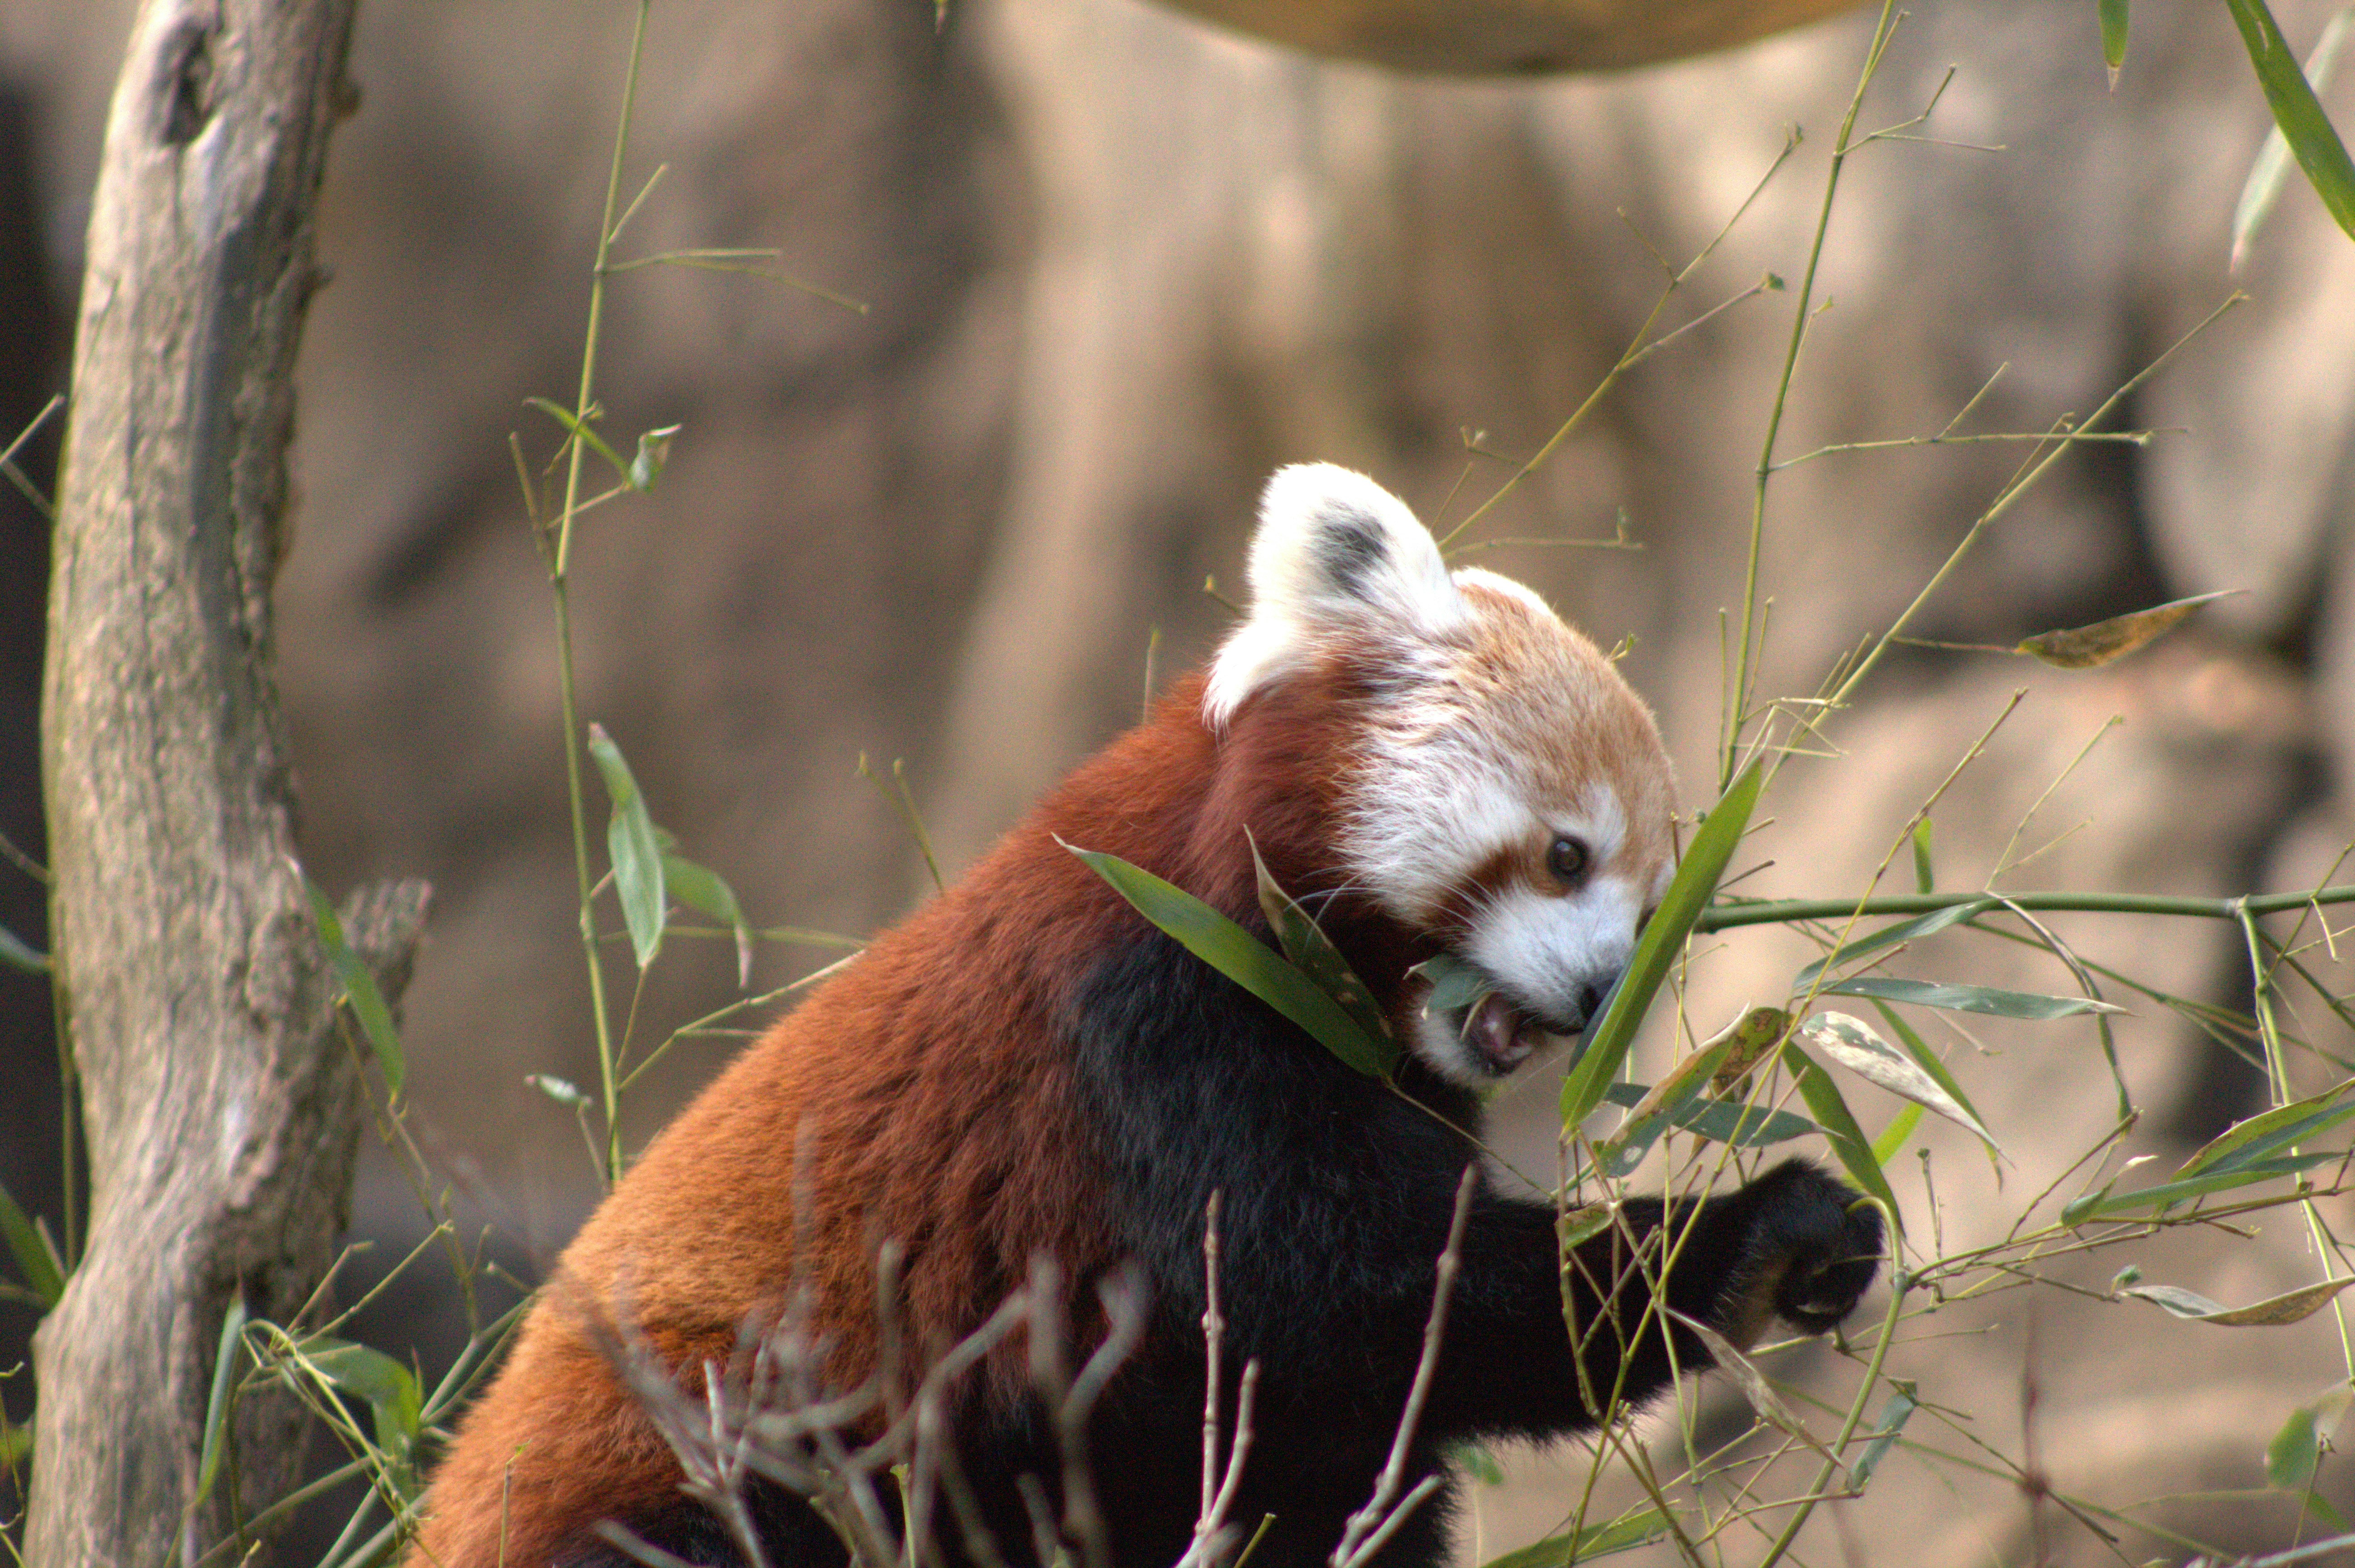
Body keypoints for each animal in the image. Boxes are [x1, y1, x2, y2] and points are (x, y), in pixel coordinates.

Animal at [408, 463, 1882, 1568]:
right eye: (1568, 856)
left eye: (1652, 911)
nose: (1588, 999)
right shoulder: (1149, 1026)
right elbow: (1361, 1297)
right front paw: (1756, 1232)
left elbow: (1335, 1429)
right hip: (692, 1443)